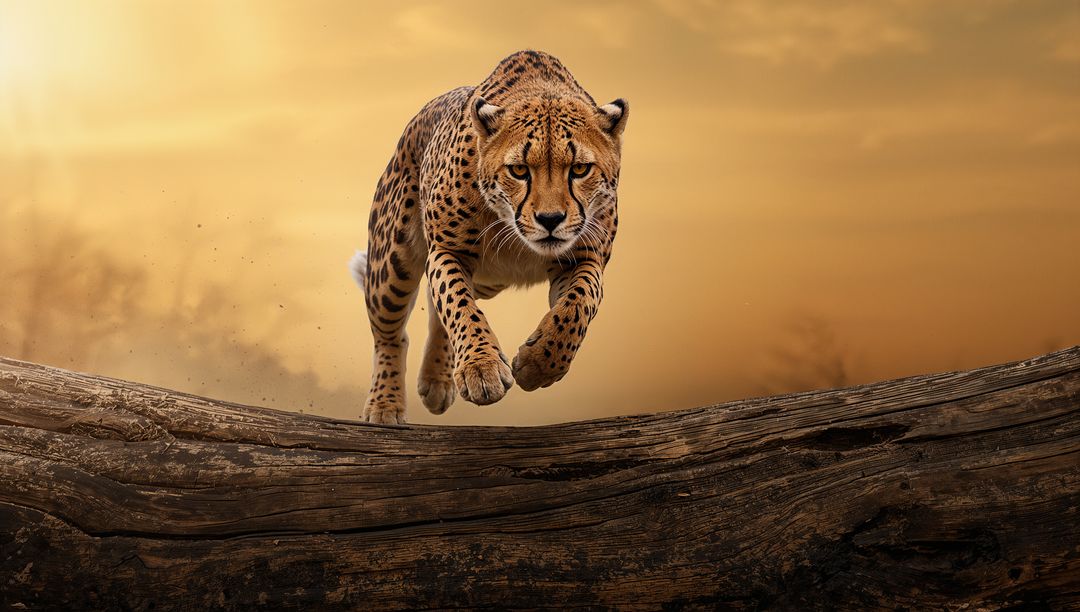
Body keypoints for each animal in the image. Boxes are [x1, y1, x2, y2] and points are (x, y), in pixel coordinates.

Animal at [349, 50, 628, 424]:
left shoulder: (583, 258)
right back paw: (384, 404)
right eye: (519, 170)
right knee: (391, 334)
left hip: (489, 280)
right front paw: (482, 368)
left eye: (580, 169)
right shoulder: (448, 250)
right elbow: (458, 305)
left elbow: (576, 307)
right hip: (392, 264)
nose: (550, 220)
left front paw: (538, 364)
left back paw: (436, 381)